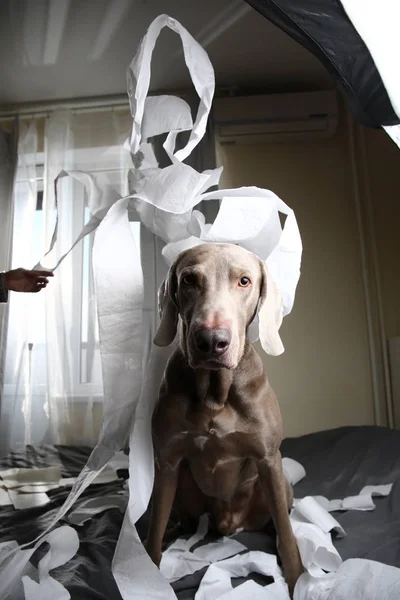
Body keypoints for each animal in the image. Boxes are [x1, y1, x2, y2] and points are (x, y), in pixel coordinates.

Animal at [145, 243, 302, 596]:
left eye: (244, 281)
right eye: (188, 280)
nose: (212, 341)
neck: (215, 393)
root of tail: (229, 523)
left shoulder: (268, 459)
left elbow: (287, 534)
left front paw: (298, 578)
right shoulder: (167, 461)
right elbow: (154, 530)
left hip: (279, 484)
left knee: (279, 521)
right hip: (180, 486)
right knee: (176, 519)